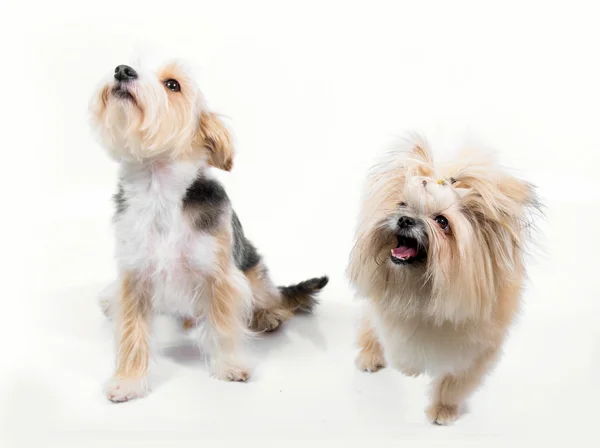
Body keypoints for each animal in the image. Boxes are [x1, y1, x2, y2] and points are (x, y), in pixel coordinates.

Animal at [90, 58, 328, 402]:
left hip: (254, 274)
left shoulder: (220, 276)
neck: (158, 190)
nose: (122, 70)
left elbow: (225, 326)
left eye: (172, 85)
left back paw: (267, 315)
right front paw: (128, 381)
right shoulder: (134, 277)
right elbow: (131, 332)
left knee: (274, 298)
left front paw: (229, 366)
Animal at [346, 136, 540, 424]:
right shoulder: (390, 324)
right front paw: (409, 368)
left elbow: (454, 384)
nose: (405, 219)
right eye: (401, 205)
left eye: (441, 221)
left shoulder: (476, 353)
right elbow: (397, 347)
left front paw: (443, 410)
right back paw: (370, 356)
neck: (420, 289)